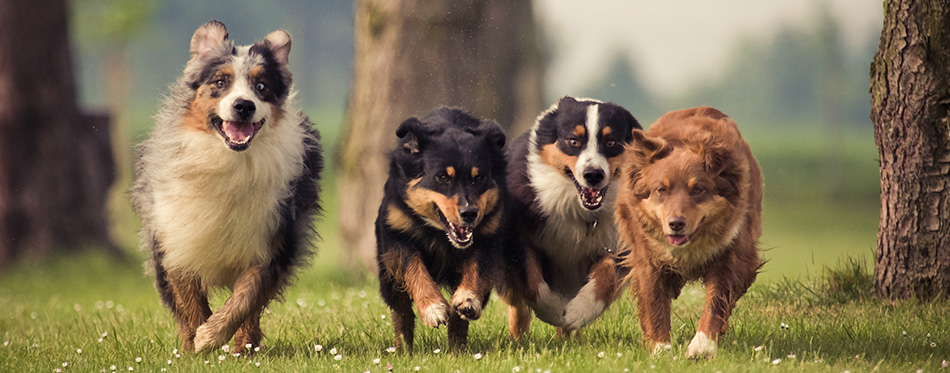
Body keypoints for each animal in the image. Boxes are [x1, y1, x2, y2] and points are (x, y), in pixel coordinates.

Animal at [130, 21, 326, 354]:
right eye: (220, 82)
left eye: (261, 87)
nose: (244, 106)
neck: (229, 160)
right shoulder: (176, 239)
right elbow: (189, 301)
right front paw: (196, 345)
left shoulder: (273, 241)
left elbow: (246, 298)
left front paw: (212, 336)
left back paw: (244, 348)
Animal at [376, 107, 510, 348]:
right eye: (442, 177)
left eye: (479, 178)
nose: (469, 213)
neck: (439, 233)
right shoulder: (397, 235)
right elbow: (414, 269)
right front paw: (433, 309)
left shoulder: (488, 238)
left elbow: (476, 269)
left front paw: (467, 299)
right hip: (388, 277)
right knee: (401, 310)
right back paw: (404, 348)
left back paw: (457, 347)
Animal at [616, 107, 768, 358]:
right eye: (661, 190)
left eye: (697, 189)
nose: (676, 223)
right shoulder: (647, 258)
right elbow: (654, 302)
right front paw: (662, 349)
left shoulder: (732, 254)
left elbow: (717, 301)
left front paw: (702, 346)